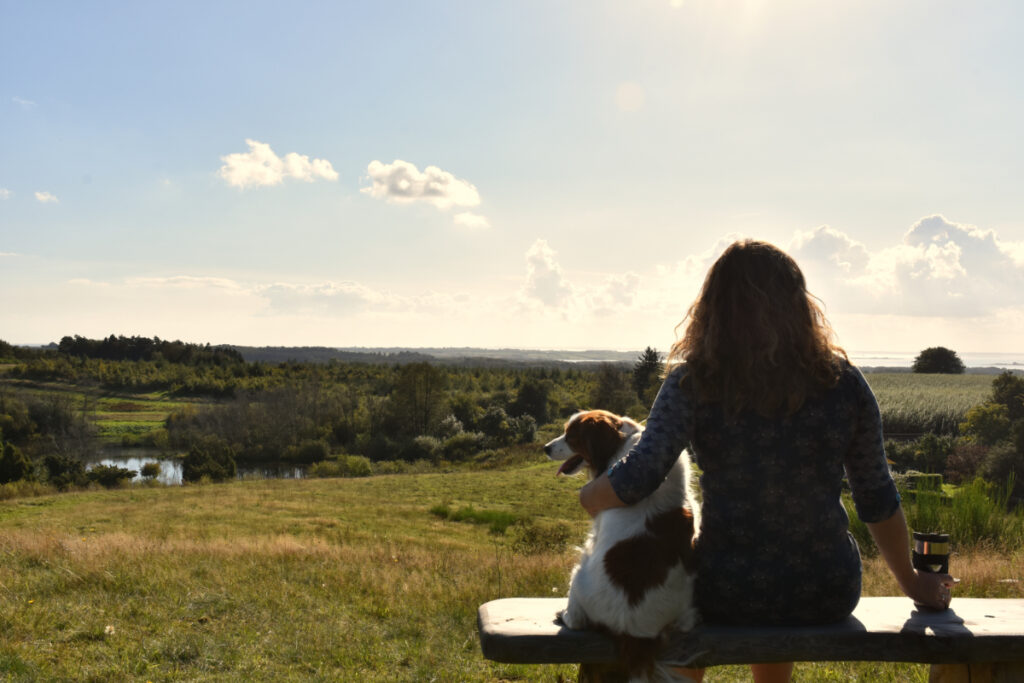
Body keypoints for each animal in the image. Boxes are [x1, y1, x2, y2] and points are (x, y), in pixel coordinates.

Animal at [544, 409, 704, 679]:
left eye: (570, 436)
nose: (545, 448)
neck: (623, 443)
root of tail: (635, 634)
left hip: (579, 572)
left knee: (577, 619)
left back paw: (563, 614)